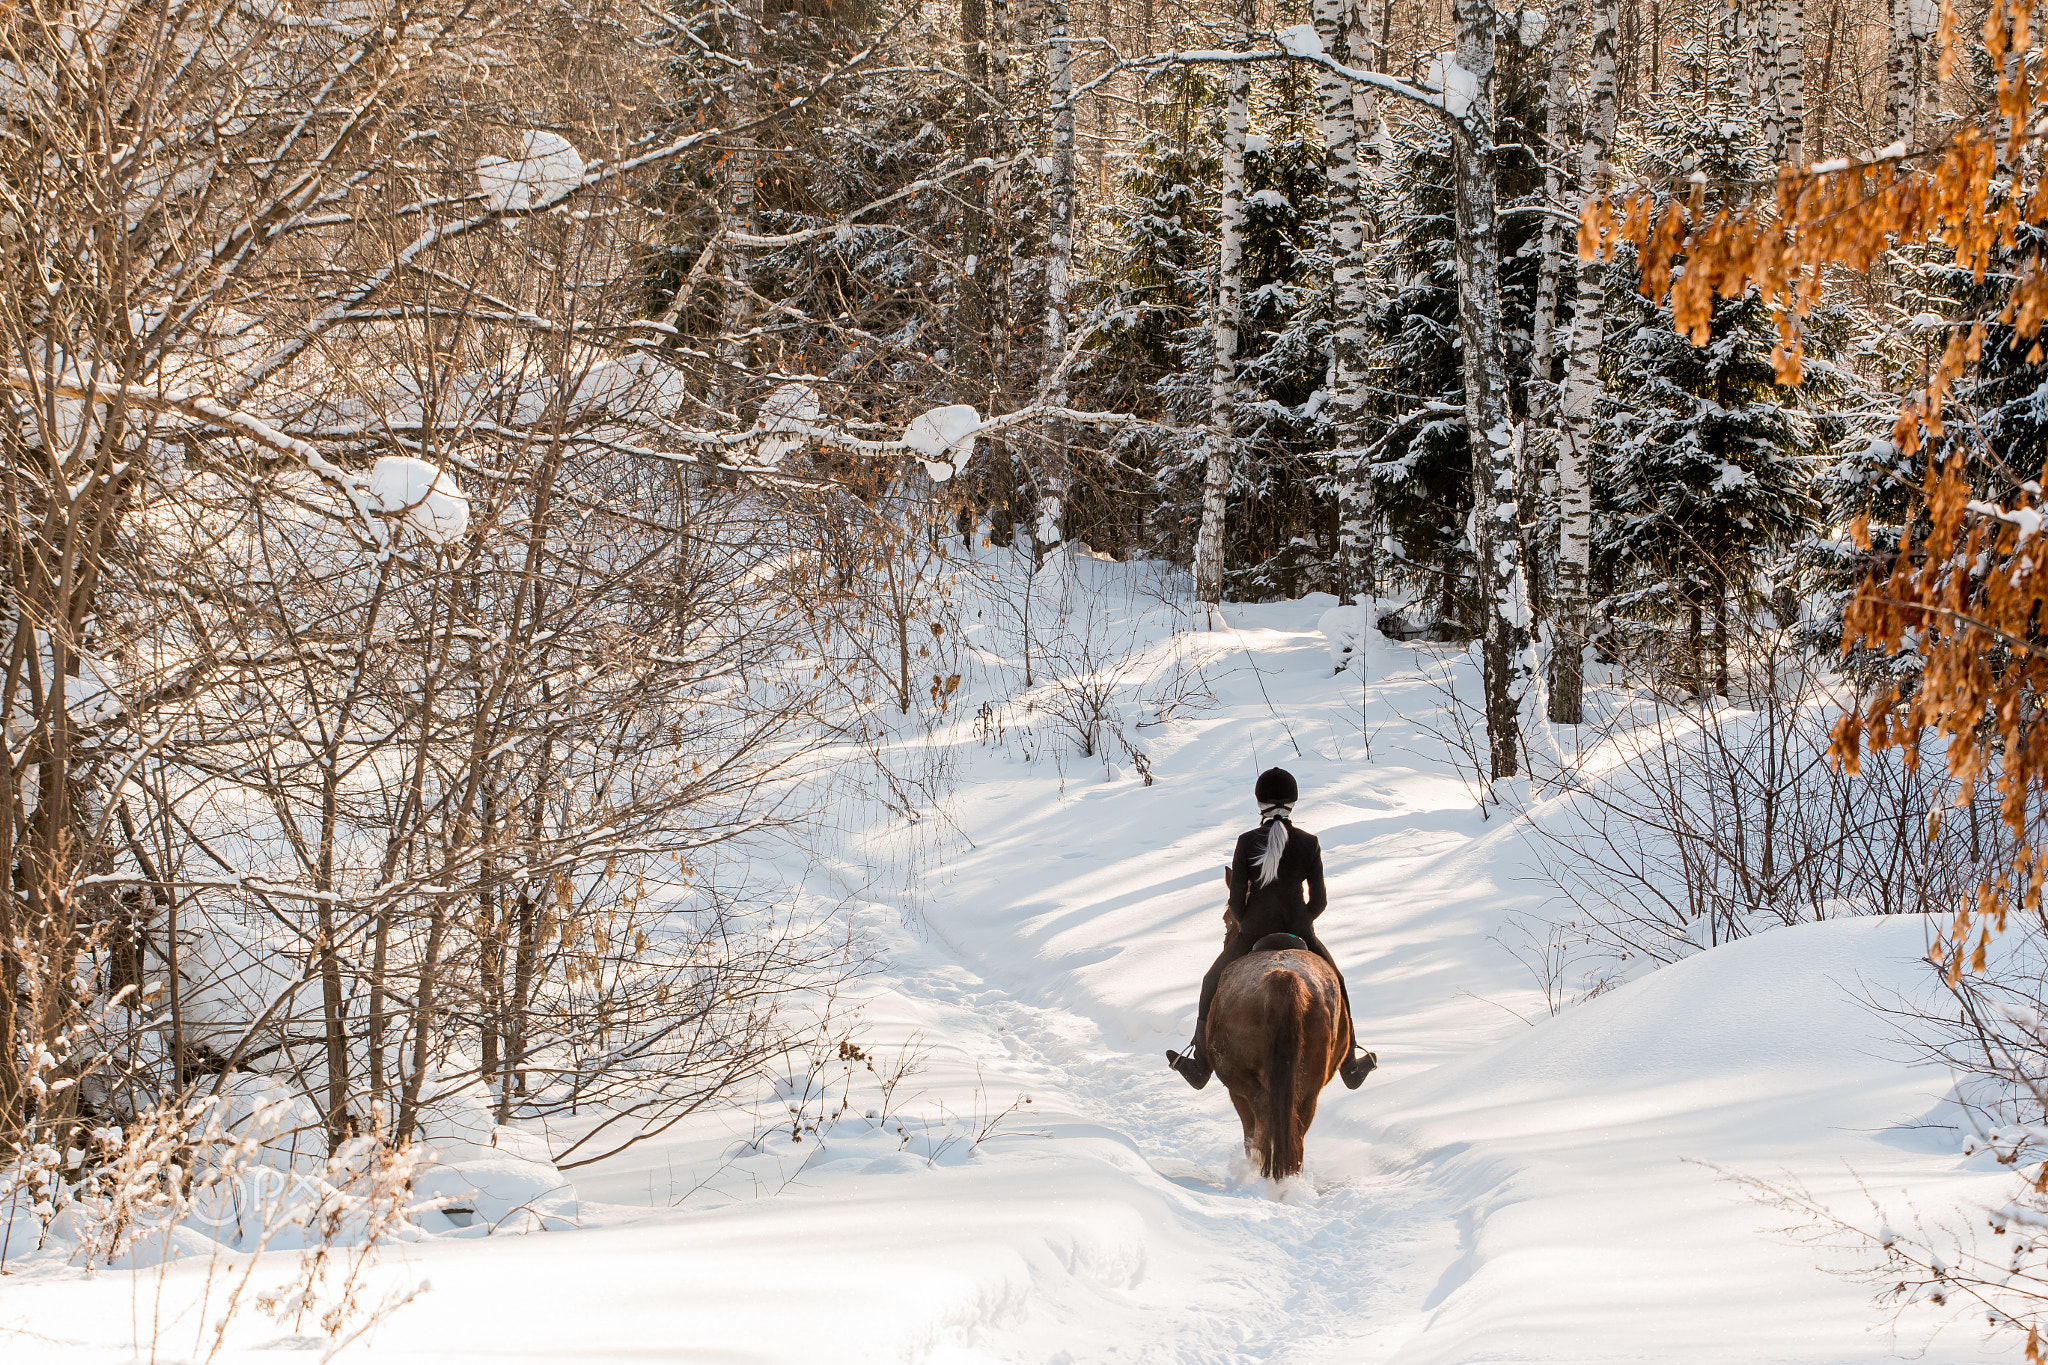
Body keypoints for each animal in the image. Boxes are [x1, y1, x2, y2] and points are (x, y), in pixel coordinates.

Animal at [1196, 871, 1343, 1178]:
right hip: (1307, 1086)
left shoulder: (1237, 1092)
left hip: (1248, 1086)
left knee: (1262, 1127)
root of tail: (1283, 978)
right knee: (1295, 1131)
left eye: (1227, 917)